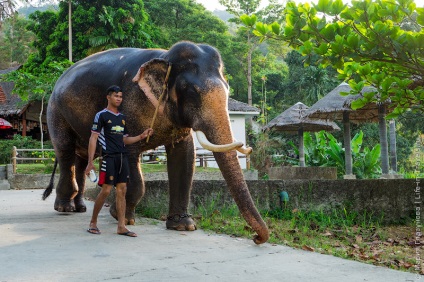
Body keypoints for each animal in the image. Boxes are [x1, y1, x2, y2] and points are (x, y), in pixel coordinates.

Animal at [42, 40, 268, 245]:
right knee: (66, 152)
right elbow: (130, 154)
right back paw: (65, 208)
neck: (165, 56)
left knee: (81, 159)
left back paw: (79, 208)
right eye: (191, 91)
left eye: (228, 89)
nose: (256, 238)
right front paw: (121, 216)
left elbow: (185, 156)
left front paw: (183, 226)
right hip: (55, 111)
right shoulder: (131, 103)